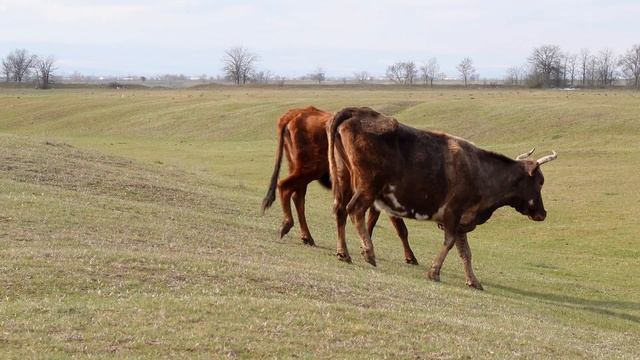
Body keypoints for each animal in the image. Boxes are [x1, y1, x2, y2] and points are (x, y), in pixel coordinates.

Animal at [262, 106, 420, 264]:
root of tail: (297, 113)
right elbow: (400, 228)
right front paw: (411, 257)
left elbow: (371, 221)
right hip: (308, 171)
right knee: (285, 187)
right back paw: (287, 225)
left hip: (301, 172)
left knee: (297, 197)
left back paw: (307, 237)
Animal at [328, 107, 556, 290]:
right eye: (541, 181)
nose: (543, 213)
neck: (481, 170)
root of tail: (357, 112)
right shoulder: (453, 213)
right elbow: (450, 243)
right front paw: (434, 271)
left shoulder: (463, 220)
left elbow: (465, 252)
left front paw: (473, 280)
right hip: (368, 186)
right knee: (355, 210)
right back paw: (368, 252)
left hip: (344, 178)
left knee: (340, 211)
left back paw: (343, 253)